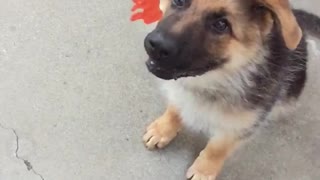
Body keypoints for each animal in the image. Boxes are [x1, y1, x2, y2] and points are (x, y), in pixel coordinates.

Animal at [142, 0, 320, 179]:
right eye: (179, 2)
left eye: (221, 25)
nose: (156, 46)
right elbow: (175, 108)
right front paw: (163, 129)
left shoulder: (239, 126)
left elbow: (218, 149)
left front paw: (204, 170)